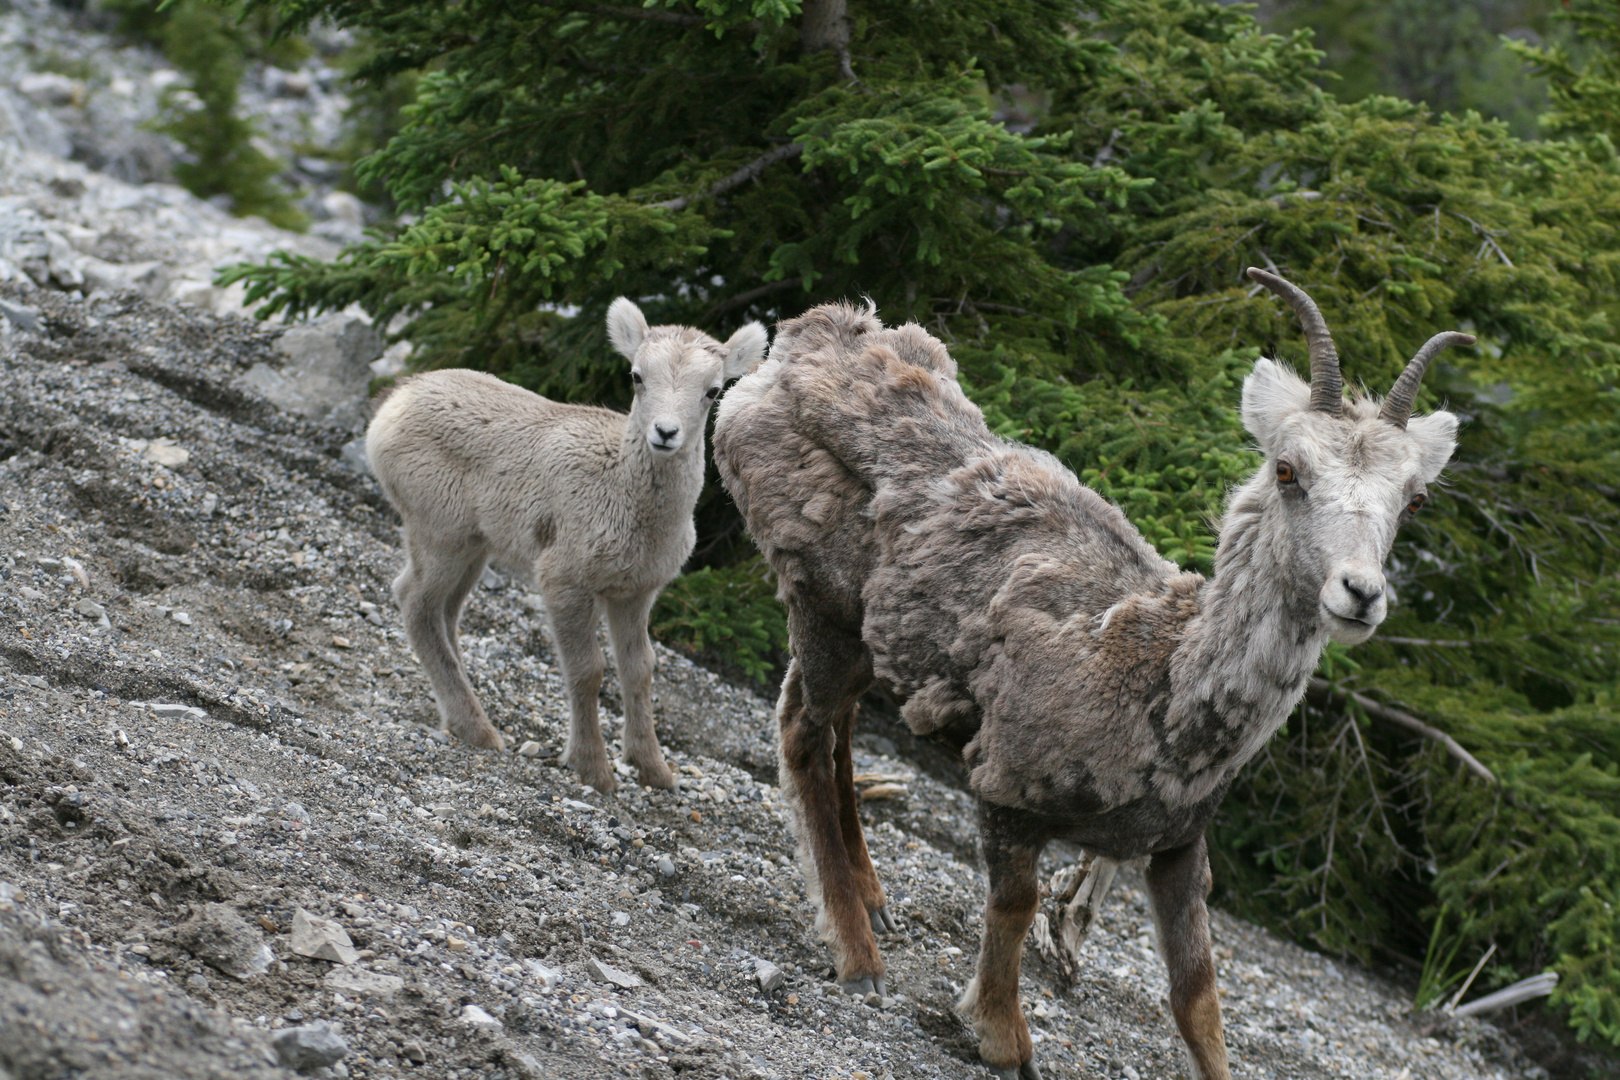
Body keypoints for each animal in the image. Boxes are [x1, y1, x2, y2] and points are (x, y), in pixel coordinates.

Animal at [370, 302, 767, 793]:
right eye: (637, 376)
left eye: (712, 391)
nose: (665, 432)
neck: (625, 498)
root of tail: (393, 404)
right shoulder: (565, 581)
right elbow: (587, 669)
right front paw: (592, 769)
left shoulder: (636, 592)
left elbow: (640, 669)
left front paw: (654, 770)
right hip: (439, 533)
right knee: (415, 603)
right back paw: (479, 731)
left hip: (474, 548)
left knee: (446, 613)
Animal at [716, 272, 1477, 1080]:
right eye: (1287, 469)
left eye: (1414, 497)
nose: (1360, 593)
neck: (1167, 703)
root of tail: (798, 342)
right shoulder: (1007, 789)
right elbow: (1015, 909)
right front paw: (1000, 1037)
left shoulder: (1176, 849)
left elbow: (1198, 998)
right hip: (820, 606)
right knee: (802, 730)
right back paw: (857, 954)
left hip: (866, 643)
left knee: (833, 728)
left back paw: (874, 902)